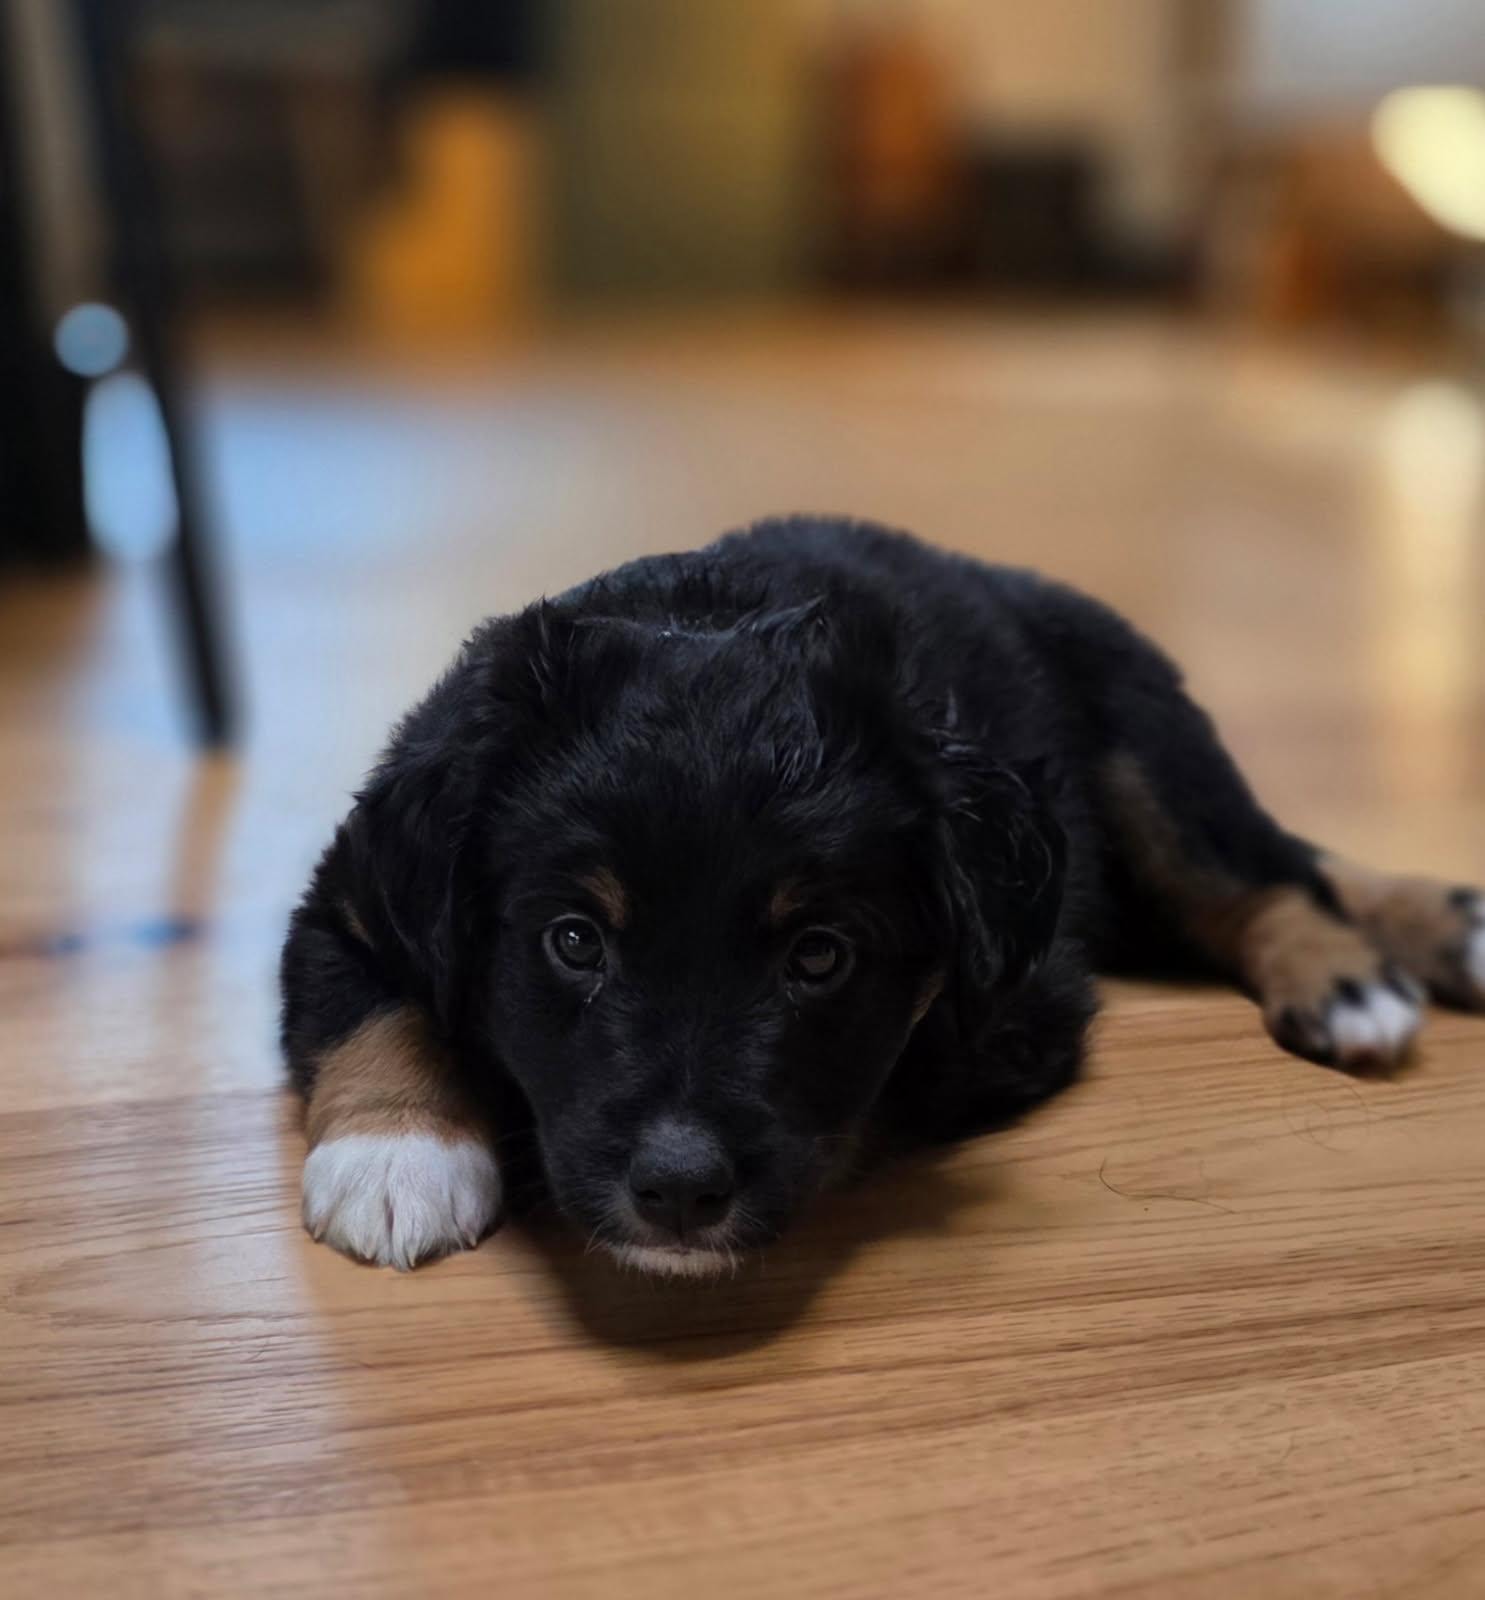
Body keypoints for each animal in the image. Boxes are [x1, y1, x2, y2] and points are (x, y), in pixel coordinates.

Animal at [281, 516, 1485, 1275]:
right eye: (573, 940)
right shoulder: (357, 882)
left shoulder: (1012, 1013)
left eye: (819, 956)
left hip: (1147, 736)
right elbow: (369, 998)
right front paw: (398, 1155)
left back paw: (1357, 975)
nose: (678, 1192)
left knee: (1257, 866)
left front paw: (408, 1160)